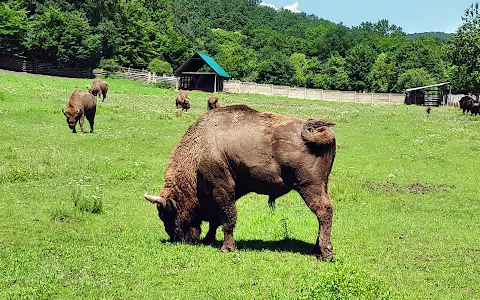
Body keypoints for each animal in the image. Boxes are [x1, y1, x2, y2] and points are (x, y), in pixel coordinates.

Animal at [144, 105, 336, 260]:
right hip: (322, 185)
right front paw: (209, 239)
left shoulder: (222, 188)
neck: (198, 150)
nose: (177, 239)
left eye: (167, 214)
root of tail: (312, 128)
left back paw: (325, 254)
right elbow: (217, 219)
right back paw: (316, 250)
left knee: (323, 212)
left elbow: (228, 218)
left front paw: (226, 247)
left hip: (309, 187)